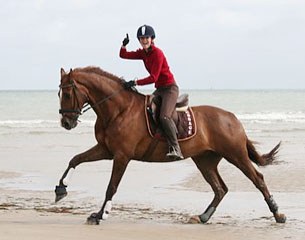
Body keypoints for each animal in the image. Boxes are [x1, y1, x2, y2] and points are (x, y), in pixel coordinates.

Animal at [56, 66, 284, 225]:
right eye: (59, 94)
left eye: (66, 94)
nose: (66, 123)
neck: (118, 110)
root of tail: (233, 118)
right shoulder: (106, 150)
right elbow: (75, 159)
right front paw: (60, 189)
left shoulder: (121, 155)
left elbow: (111, 186)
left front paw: (101, 214)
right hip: (205, 160)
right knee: (220, 189)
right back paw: (203, 217)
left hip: (236, 155)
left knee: (258, 179)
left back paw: (278, 213)